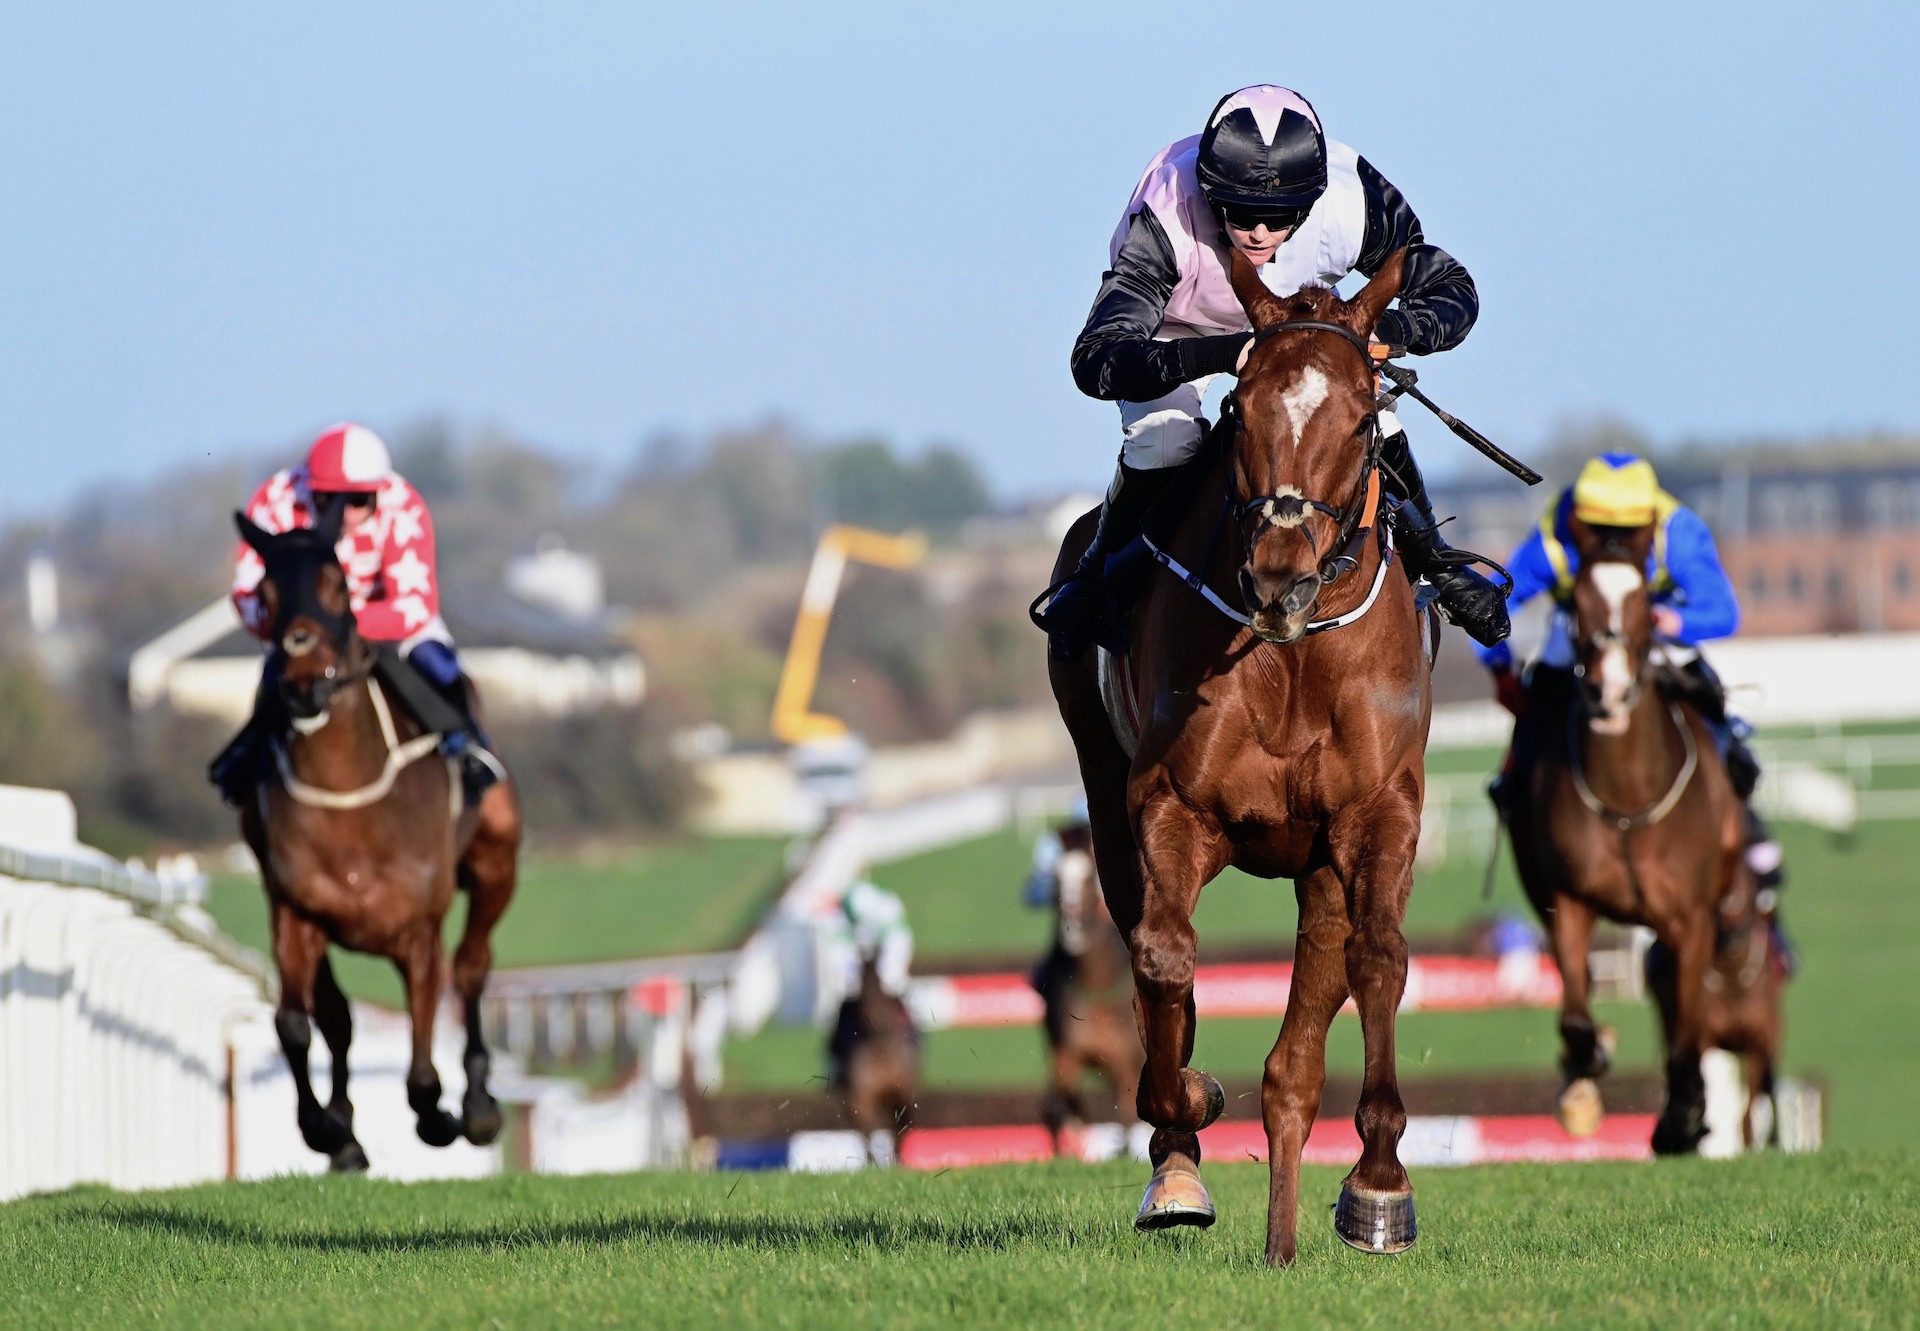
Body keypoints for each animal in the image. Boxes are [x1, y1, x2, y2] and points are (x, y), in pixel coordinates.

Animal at [238, 507, 526, 1160]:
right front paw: (323, 1126)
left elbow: (422, 1061)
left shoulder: (417, 929)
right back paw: (344, 1128)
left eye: (337, 586)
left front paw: (441, 1116)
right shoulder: (296, 911)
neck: (350, 803)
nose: (302, 682)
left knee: (472, 968)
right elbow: (295, 1023)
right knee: (337, 1018)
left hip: (497, 864)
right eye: (266, 595)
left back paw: (477, 1106)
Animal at [840, 956, 921, 1160]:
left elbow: (901, 1125)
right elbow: (870, 1128)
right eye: (861, 985)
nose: (878, 1018)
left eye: (879, 981)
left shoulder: (903, 1092)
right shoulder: (861, 1098)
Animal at [1036, 837, 1136, 1144]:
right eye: (1055, 879)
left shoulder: (1124, 1064)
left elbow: (1126, 1118)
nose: (1072, 926)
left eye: (1090, 878)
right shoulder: (1066, 1055)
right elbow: (1060, 1103)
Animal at [1052, 251, 1443, 1267]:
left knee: (1298, 1053)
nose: (1278, 579)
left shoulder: (1374, 816)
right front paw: (1187, 1116)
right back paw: (1192, 1177)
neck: (1293, 655)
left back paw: (1286, 1234)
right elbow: (1162, 961)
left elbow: (1379, 958)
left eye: (1362, 413)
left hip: (1321, 869)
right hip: (1105, 801)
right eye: (1244, 406)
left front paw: (1380, 1185)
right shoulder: (1170, 805)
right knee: (1154, 955)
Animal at [1505, 514, 1751, 1152]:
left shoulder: (1690, 916)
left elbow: (1688, 1021)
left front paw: (1684, 1115)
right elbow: (1575, 1012)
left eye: (1644, 599)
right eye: (1577, 601)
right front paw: (1584, 1079)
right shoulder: (1568, 899)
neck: (1626, 800)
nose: (1608, 690)